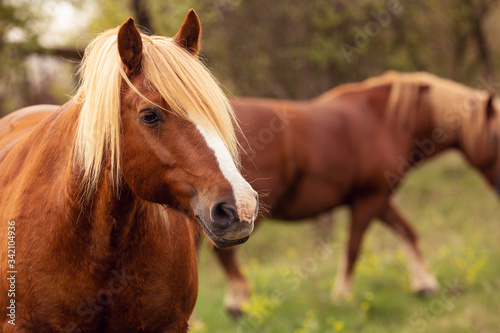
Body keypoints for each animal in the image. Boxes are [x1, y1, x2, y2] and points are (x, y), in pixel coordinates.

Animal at [215, 71, 500, 316]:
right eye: (496, 137)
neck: (384, 120)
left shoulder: (379, 199)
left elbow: (407, 232)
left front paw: (424, 283)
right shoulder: (369, 199)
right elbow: (354, 247)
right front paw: (342, 296)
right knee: (223, 253)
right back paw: (238, 302)